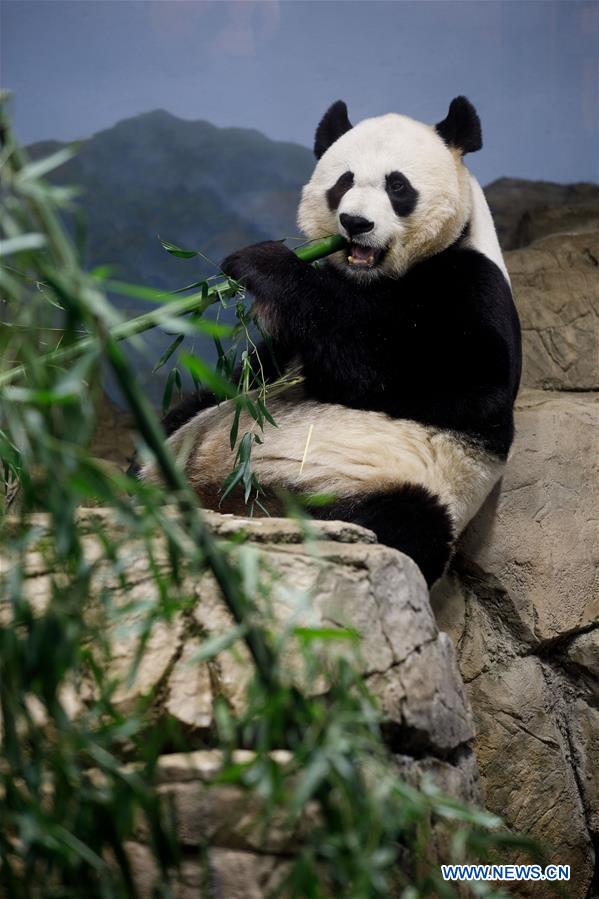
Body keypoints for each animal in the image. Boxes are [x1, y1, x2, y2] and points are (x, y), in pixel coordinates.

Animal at [139, 98, 520, 588]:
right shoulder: (278, 352)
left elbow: (451, 379)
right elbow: (256, 369)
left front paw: (264, 264)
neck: (374, 278)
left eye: (398, 185)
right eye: (344, 182)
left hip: (402, 485)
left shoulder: (473, 288)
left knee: (407, 524)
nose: (356, 223)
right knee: (180, 417)